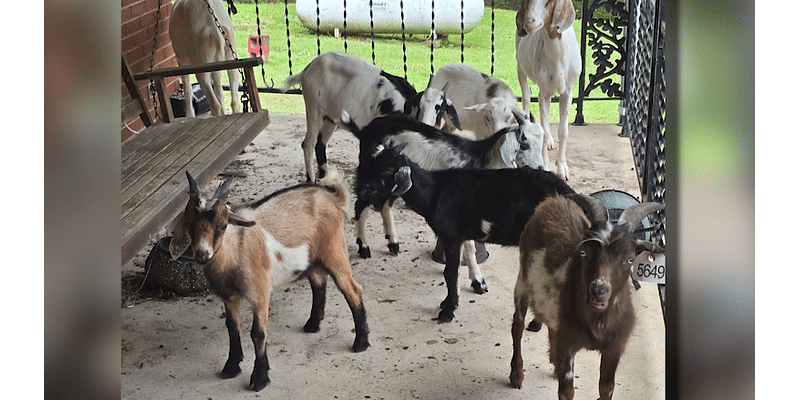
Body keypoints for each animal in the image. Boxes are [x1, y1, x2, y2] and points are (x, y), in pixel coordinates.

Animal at [282, 50, 460, 182]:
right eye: (420, 105)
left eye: (440, 107)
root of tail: (308, 68)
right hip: (314, 108)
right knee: (308, 144)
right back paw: (311, 180)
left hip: (330, 117)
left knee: (320, 145)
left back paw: (326, 178)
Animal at [354, 145, 572, 324]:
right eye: (373, 161)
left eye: (387, 171)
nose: (362, 189)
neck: (435, 191)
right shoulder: (459, 236)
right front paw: (449, 302)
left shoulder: (451, 235)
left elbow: (450, 273)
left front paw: (447, 312)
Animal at [510, 195, 664, 400]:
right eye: (584, 253)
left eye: (630, 259)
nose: (599, 290)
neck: (597, 321)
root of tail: (552, 200)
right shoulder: (568, 344)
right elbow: (567, 391)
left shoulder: (614, 348)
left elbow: (606, 388)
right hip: (522, 282)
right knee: (517, 326)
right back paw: (516, 374)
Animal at [516, 0, 580, 180]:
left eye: (549, 1)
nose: (528, 22)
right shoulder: (543, 92)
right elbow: (543, 129)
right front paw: (545, 165)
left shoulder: (567, 92)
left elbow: (563, 131)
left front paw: (562, 168)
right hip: (520, 68)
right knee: (526, 97)